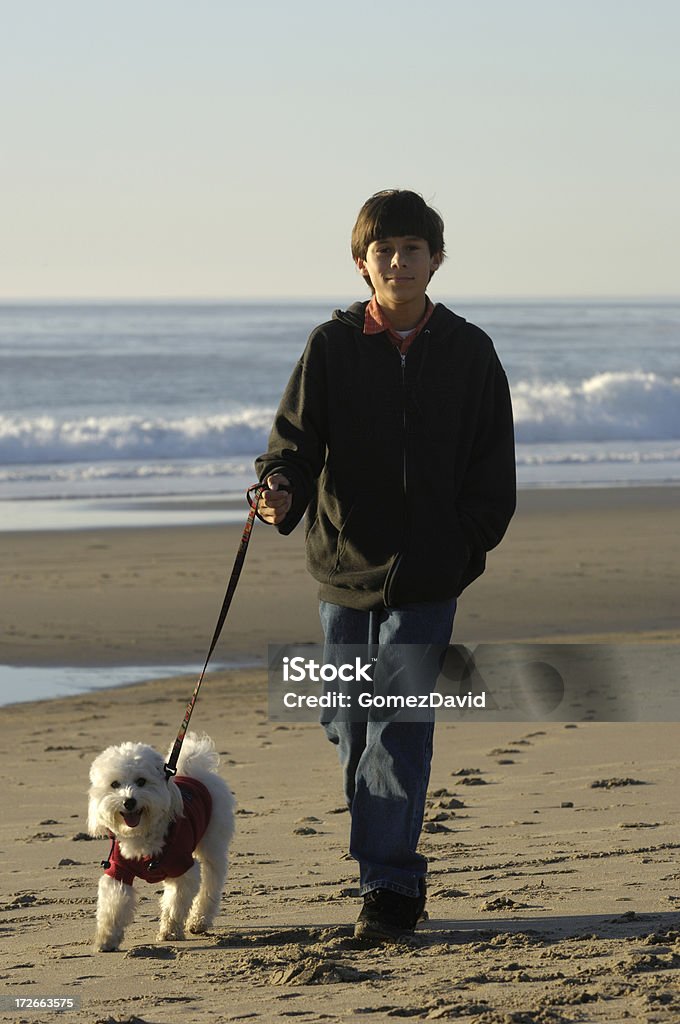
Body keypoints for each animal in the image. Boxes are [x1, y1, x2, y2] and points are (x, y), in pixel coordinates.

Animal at [87, 733, 233, 946]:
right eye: (114, 784)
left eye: (141, 781)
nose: (129, 802)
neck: (142, 833)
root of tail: (194, 774)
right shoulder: (119, 868)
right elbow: (114, 904)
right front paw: (106, 939)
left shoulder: (182, 866)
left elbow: (175, 903)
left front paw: (170, 932)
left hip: (213, 840)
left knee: (212, 880)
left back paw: (199, 920)